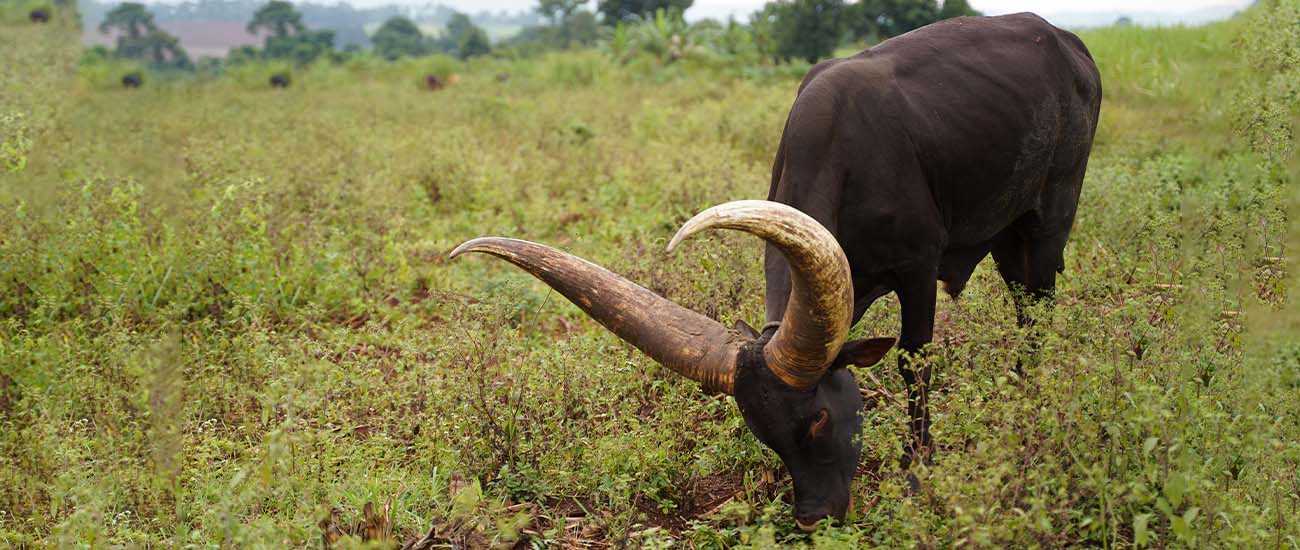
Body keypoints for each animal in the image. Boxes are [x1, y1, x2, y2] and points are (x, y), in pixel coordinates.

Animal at [452, 11, 1102, 530]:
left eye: (818, 418)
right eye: (764, 434)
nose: (813, 519)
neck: (850, 151)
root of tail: (1063, 39)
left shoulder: (918, 270)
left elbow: (915, 365)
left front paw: (919, 474)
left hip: (1052, 216)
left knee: (1037, 307)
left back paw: (1030, 402)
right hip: (1005, 233)